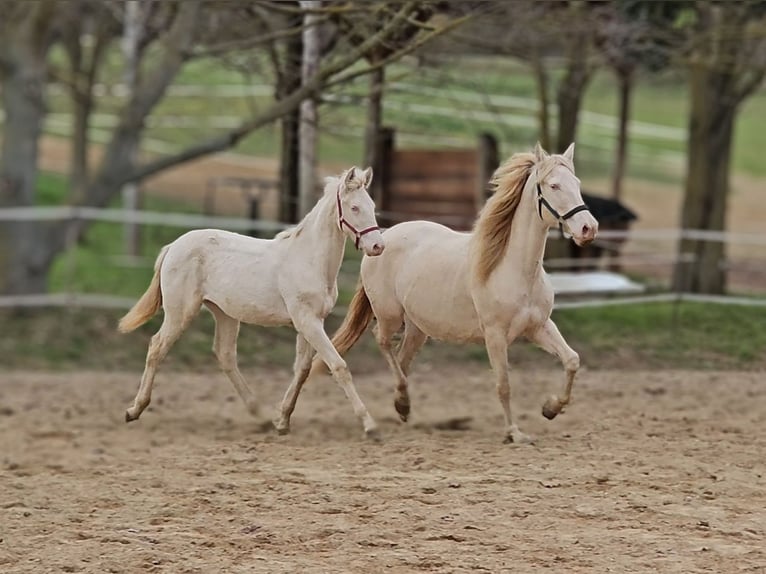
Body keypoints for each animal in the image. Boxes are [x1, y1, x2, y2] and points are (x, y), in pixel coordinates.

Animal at [118, 166, 386, 439]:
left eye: (372, 206)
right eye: (354, 208)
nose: (377, 246)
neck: (309, 260)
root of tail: (173, 246)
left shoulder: (311, 321)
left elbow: (302, 369)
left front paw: (282, 421)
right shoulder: (307, 321)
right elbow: (338, 366)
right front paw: (369, 424)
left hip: (224, 313)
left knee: (225, 355)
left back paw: (261, 415)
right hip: (180, 312)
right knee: (157, 347)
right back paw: (134, 410)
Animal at [302, 143, 598, 444]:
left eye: (577, 183)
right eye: (553, 185)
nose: (589, 228)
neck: (514, 269)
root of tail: (380, 240)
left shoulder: (539, 327)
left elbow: (572, 360)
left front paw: (550, 408)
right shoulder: (495, 336)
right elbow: (504, 385)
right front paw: (514, 433)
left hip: (418, 328)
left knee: (402, 360)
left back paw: (402, 405)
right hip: (389, 315)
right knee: (383, 342)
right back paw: (399, 404)